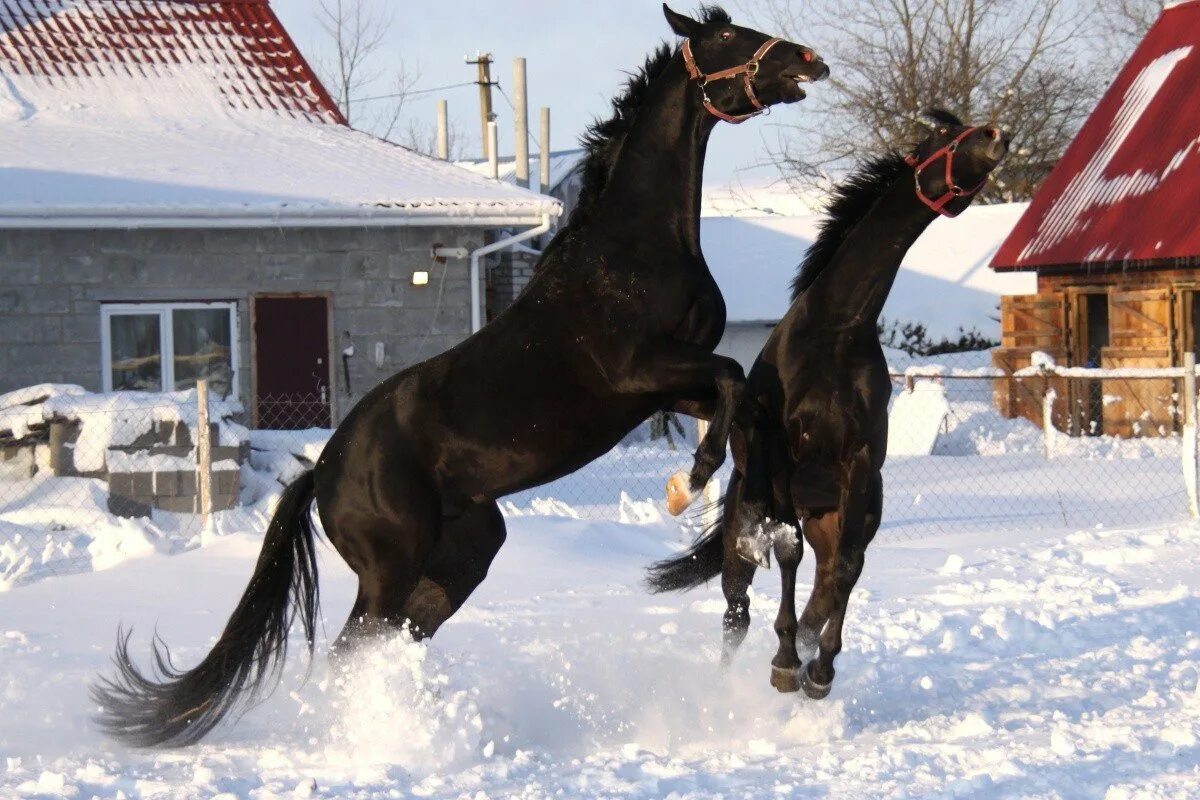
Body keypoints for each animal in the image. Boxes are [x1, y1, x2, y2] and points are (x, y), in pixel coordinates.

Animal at [93, 3, 830, 748]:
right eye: (729, 36)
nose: (809, 59)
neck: (632, 247)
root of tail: (321, 473)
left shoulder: (668, 386)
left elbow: (744, 398)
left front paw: (753, 520)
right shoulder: (639, 371)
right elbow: (733, 378)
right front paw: (692, 482)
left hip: (465, 551)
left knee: (396, 638)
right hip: (390, 566)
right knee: (354, 648)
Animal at [652, 112, 1008, 700]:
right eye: (940, 136)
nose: (993, 136)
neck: (836, 331)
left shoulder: (859, 464)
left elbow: (844, 570)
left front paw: (818, 671)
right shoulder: (784, 463)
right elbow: (787, 554)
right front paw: (785, 663)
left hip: (837, 516)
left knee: (828, 577)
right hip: (741, 538)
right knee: (737, 612)